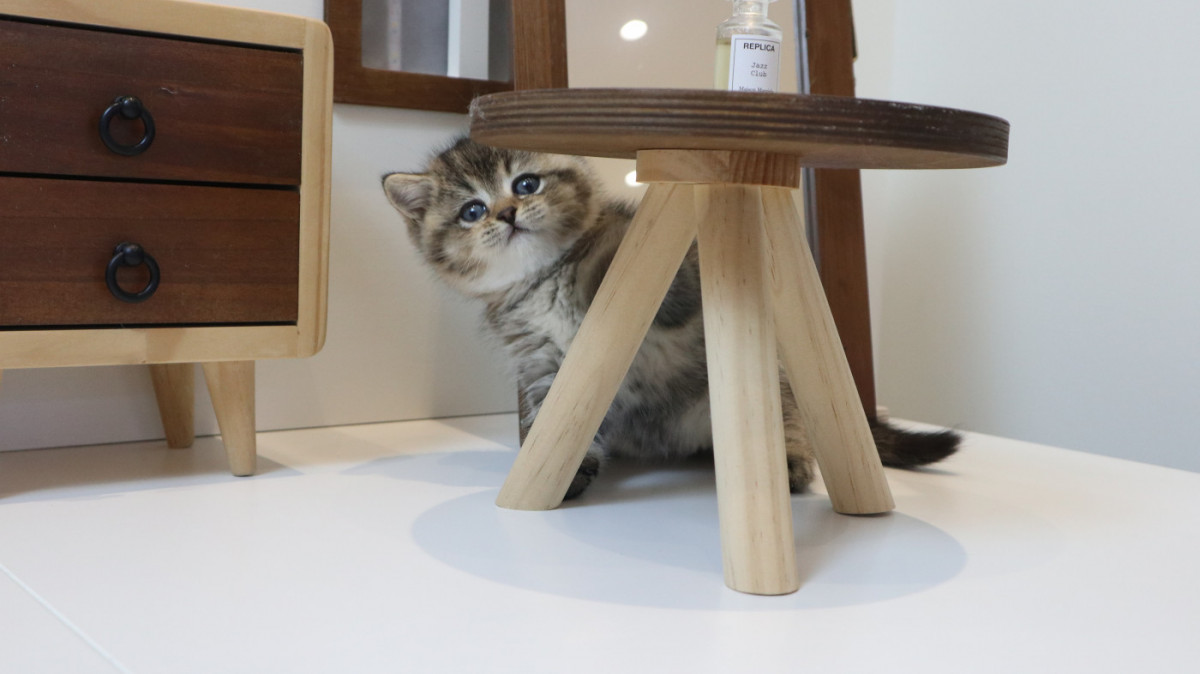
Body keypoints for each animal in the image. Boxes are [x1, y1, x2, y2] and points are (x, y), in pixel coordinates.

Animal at [383, 137, 959, 499]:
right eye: (471, 212)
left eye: (526, 184)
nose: (505, 214)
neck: (542, 277)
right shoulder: (540, 360)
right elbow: (550, 417)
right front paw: (563, 468)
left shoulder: (669, 290)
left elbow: (638, 268)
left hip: (771, 386)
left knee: (789, 421)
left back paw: (789, 461)